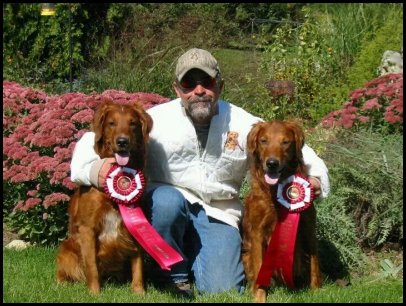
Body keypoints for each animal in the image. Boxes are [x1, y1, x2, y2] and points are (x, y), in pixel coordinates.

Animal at [55, 98, 152, 294]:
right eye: (111, 123)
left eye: (133, 123)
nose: (122, 141)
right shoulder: (87, 229)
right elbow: (91, 265)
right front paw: (95, 293)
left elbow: (138, 263)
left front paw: (139, 291)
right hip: (67, 248)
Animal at [243, 120, 322, 302]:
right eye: (263, 141)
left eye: (285, 142)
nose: (272, 163)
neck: (275, 190)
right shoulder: (257, 231)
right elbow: (259, 267)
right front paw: (259, 296)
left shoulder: (309, 227)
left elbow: (315, 261)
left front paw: (317, 290)